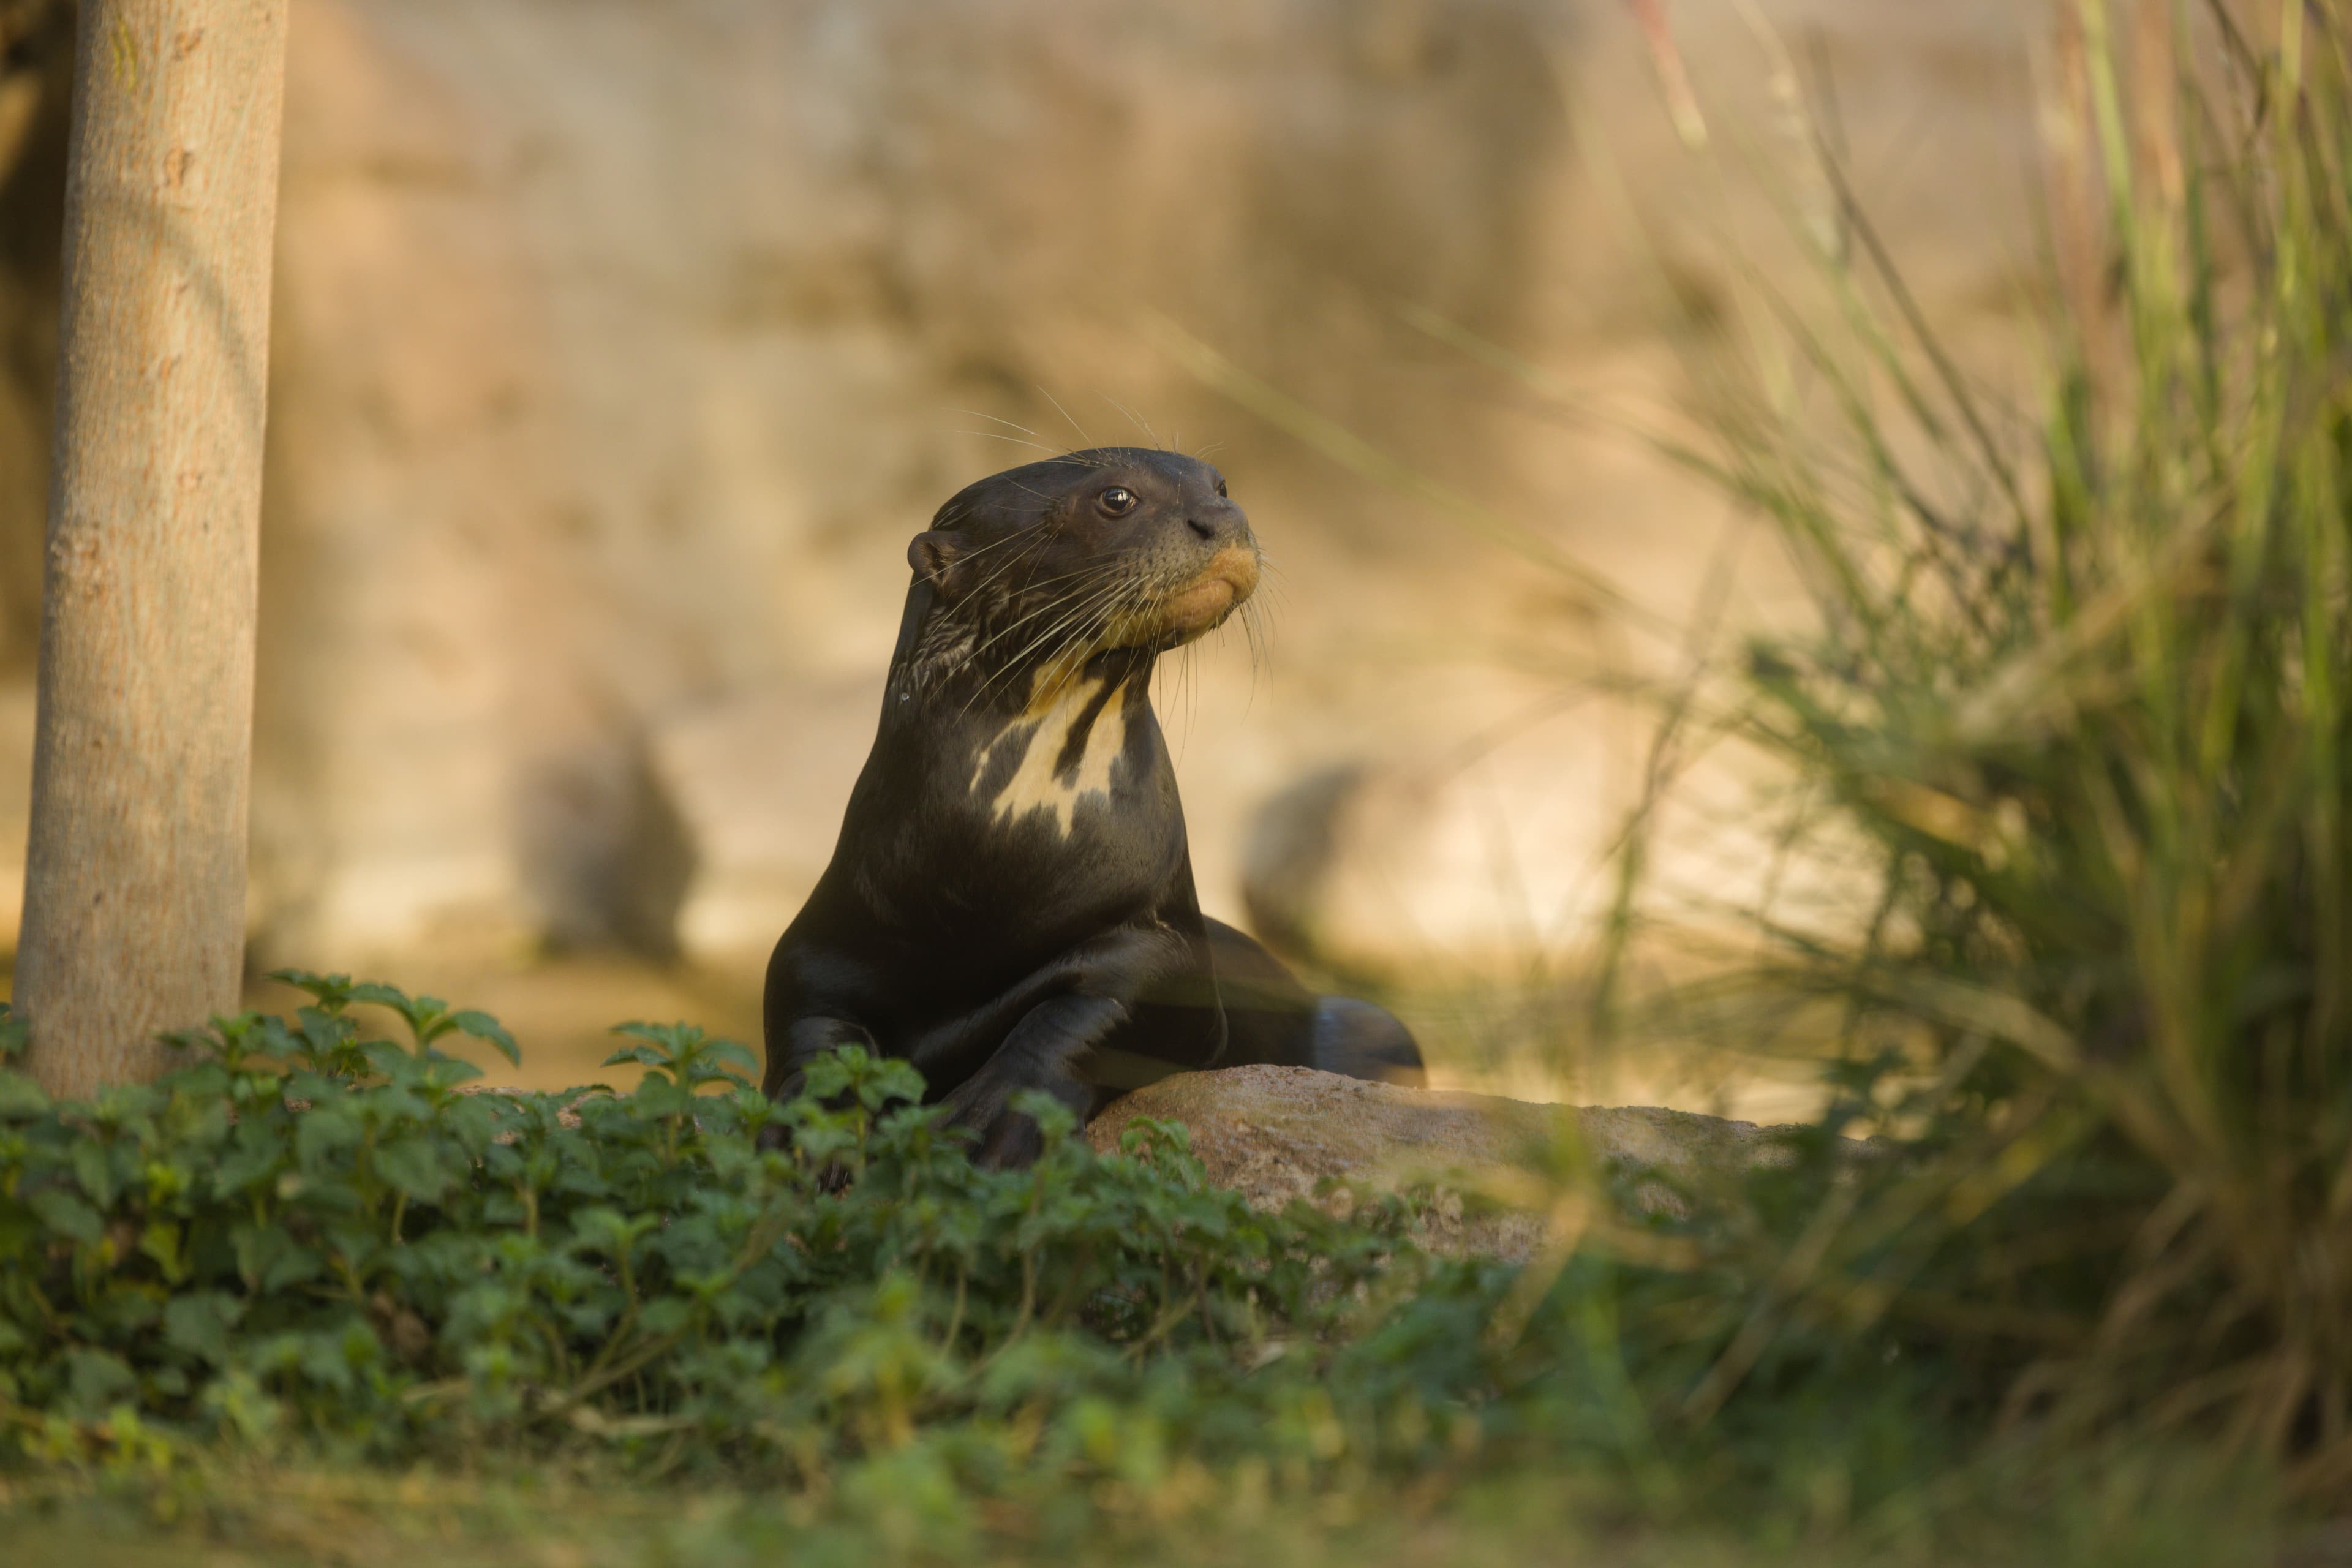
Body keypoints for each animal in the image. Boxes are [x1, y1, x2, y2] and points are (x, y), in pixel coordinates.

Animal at [761, 448, 1422, 1167]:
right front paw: (809, 1129)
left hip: (1376, 1022)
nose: (1224, 516)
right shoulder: (820, 942)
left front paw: (994, 1114)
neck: (996, 873)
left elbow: (1092, 1008)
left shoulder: (1164, 940)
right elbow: (809, 1027)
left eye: (1220, 484)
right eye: (1117, 498)